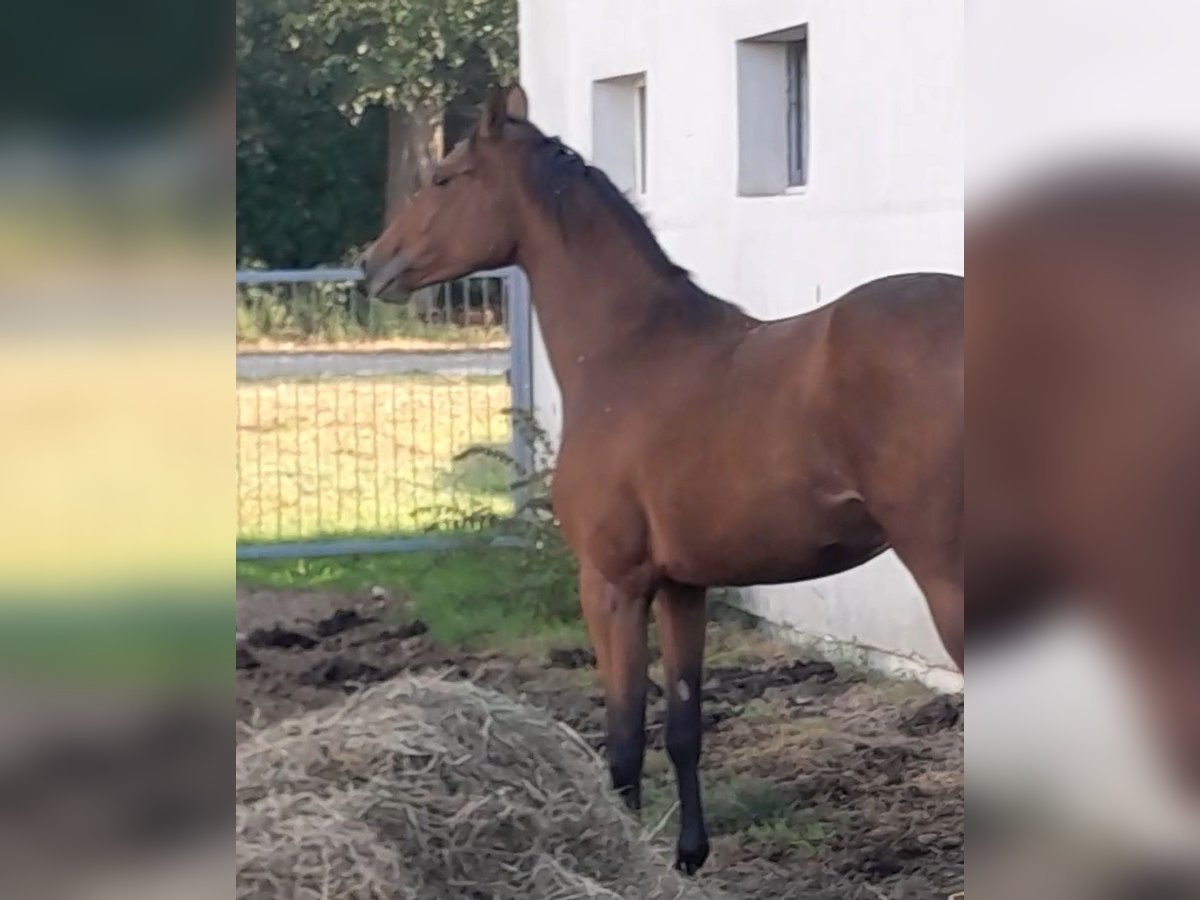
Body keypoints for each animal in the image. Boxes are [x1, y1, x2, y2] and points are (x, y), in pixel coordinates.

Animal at [360, 88, 960, 878]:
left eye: (444, 178)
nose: (371, 265)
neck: (629, 350)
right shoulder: (683, 587)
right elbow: (682, 727)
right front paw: (687, 856)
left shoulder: (611, 585)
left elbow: (621, 741)